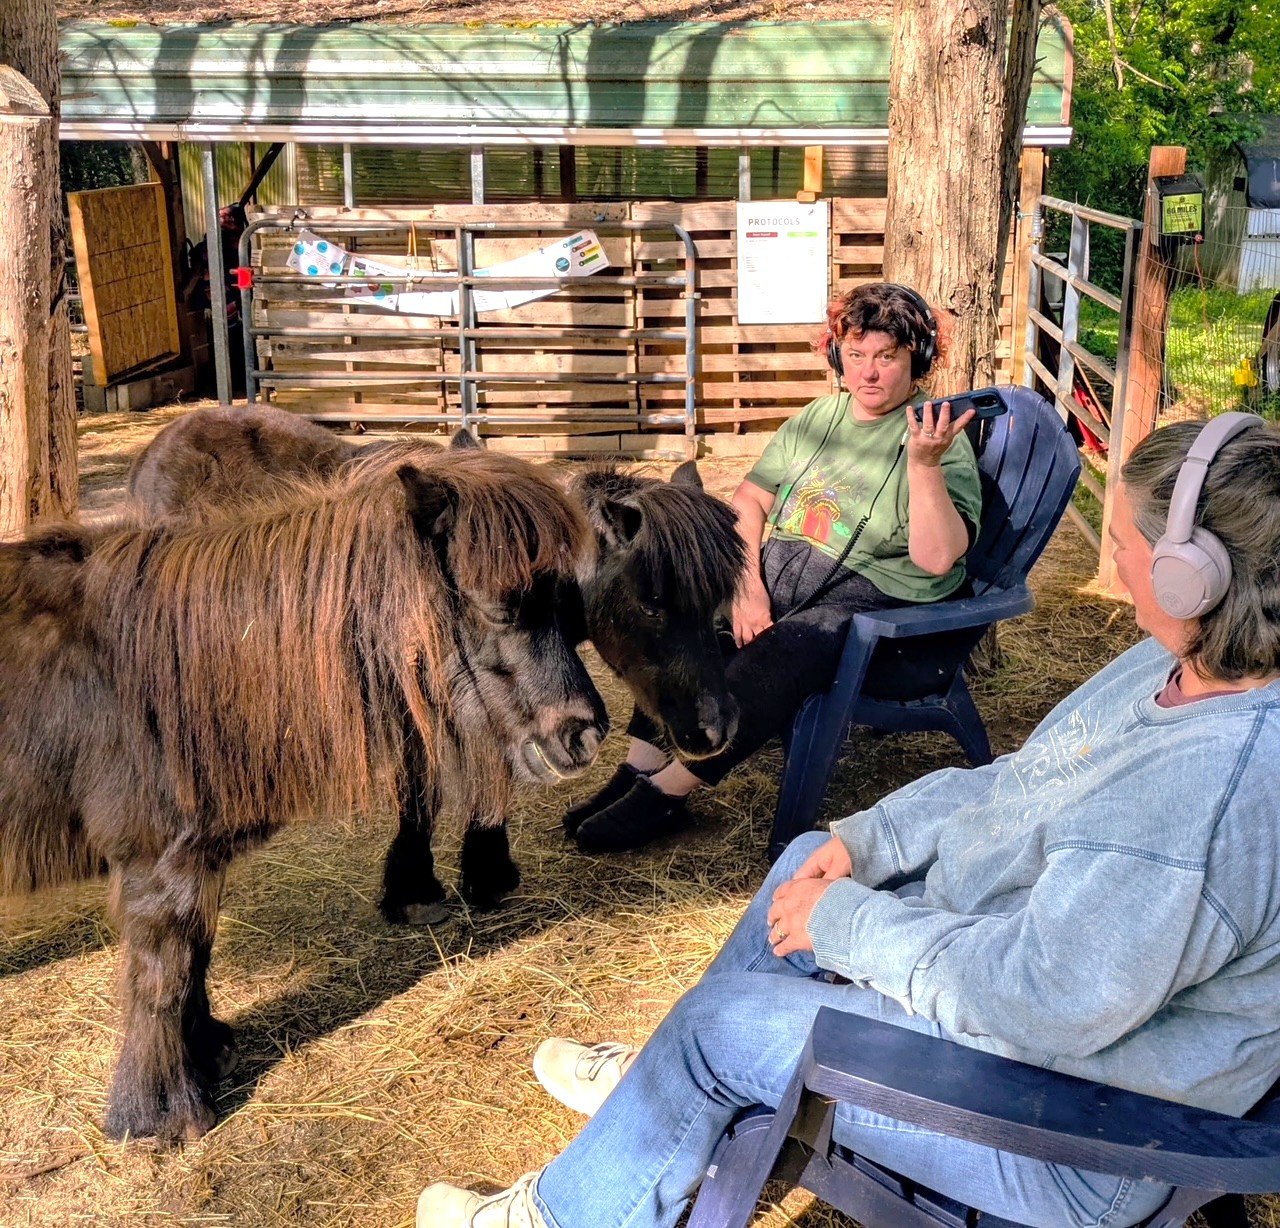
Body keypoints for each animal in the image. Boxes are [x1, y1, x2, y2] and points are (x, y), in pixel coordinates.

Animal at [0, 445, 608, 1142]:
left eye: (566, 601)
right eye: (503, 606)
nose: (585, 734)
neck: (174, 670)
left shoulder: (196, 863)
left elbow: (198, 954)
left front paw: (208, 1052)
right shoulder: (156, 868)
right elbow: (165, 975)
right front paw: (159, 1115)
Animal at [130, 407, 747, 919]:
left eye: (718, 601)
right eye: (652, 602)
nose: (714, 730)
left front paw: (477, 871)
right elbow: (423, 786)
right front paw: (426, 887)